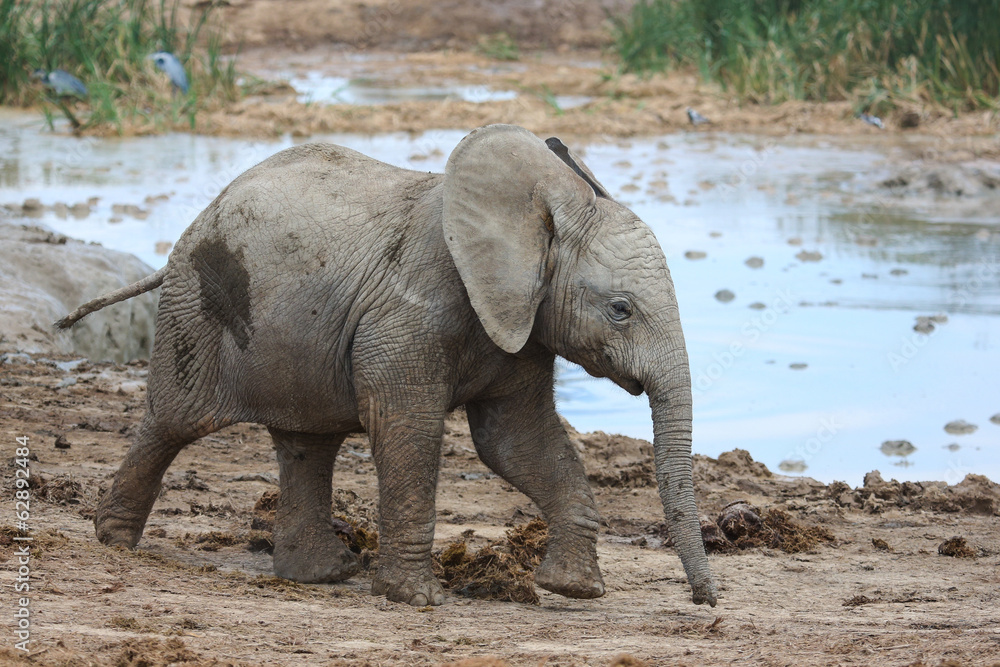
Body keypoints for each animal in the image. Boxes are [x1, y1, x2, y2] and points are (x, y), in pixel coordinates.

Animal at [56, 124, 717, 607]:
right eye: (621, 310)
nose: (704, 601)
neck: (538, 214)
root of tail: (198, 220)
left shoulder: (521, 324)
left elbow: (516, 441)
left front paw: (573, 589)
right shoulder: (410, 310)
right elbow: (409, 428)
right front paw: (417, 600)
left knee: (307, 443)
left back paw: (322, 575)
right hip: (196, 306)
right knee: (174, 422)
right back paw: (116, 542)